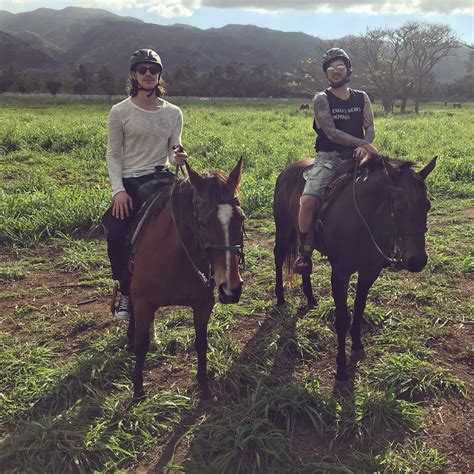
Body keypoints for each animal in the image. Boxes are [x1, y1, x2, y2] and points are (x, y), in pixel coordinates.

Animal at [129, 157, 244, 398]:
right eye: (202, 223)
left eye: (241, 218)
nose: (231, 289)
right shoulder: (143, 302)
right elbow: (141, 345)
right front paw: (138, 390)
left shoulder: (203, 304)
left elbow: (201, 342)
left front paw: (204, 383)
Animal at [274, 156, 436, 382]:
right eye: (399, 207)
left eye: (427, 206)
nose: (417, 261)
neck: (362, 220)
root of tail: (287, 170)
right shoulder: (340, 274)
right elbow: (343, 318)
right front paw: (341, 367)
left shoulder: (369, 272)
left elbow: (359, 309)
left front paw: (358, 345)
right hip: (283, 228)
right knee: (278, 257)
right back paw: (280, 297)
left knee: (304, 260)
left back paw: (311, 297)